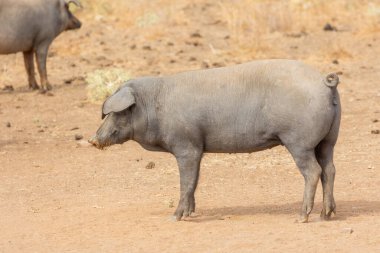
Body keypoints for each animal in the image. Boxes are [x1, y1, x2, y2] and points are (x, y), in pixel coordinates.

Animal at [89, 60, 342, 222]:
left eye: (116, 112)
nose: (92, 139)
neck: (155, 105)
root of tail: (324, 82)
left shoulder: (186, 146)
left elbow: (186, 181)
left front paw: (175, 217)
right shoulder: (198, 148)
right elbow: (194, 181)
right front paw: (191, 213)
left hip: (299, 141)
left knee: (313, 171)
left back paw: (301, 217)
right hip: (328, 140)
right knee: (329, 169)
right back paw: (326, 215)